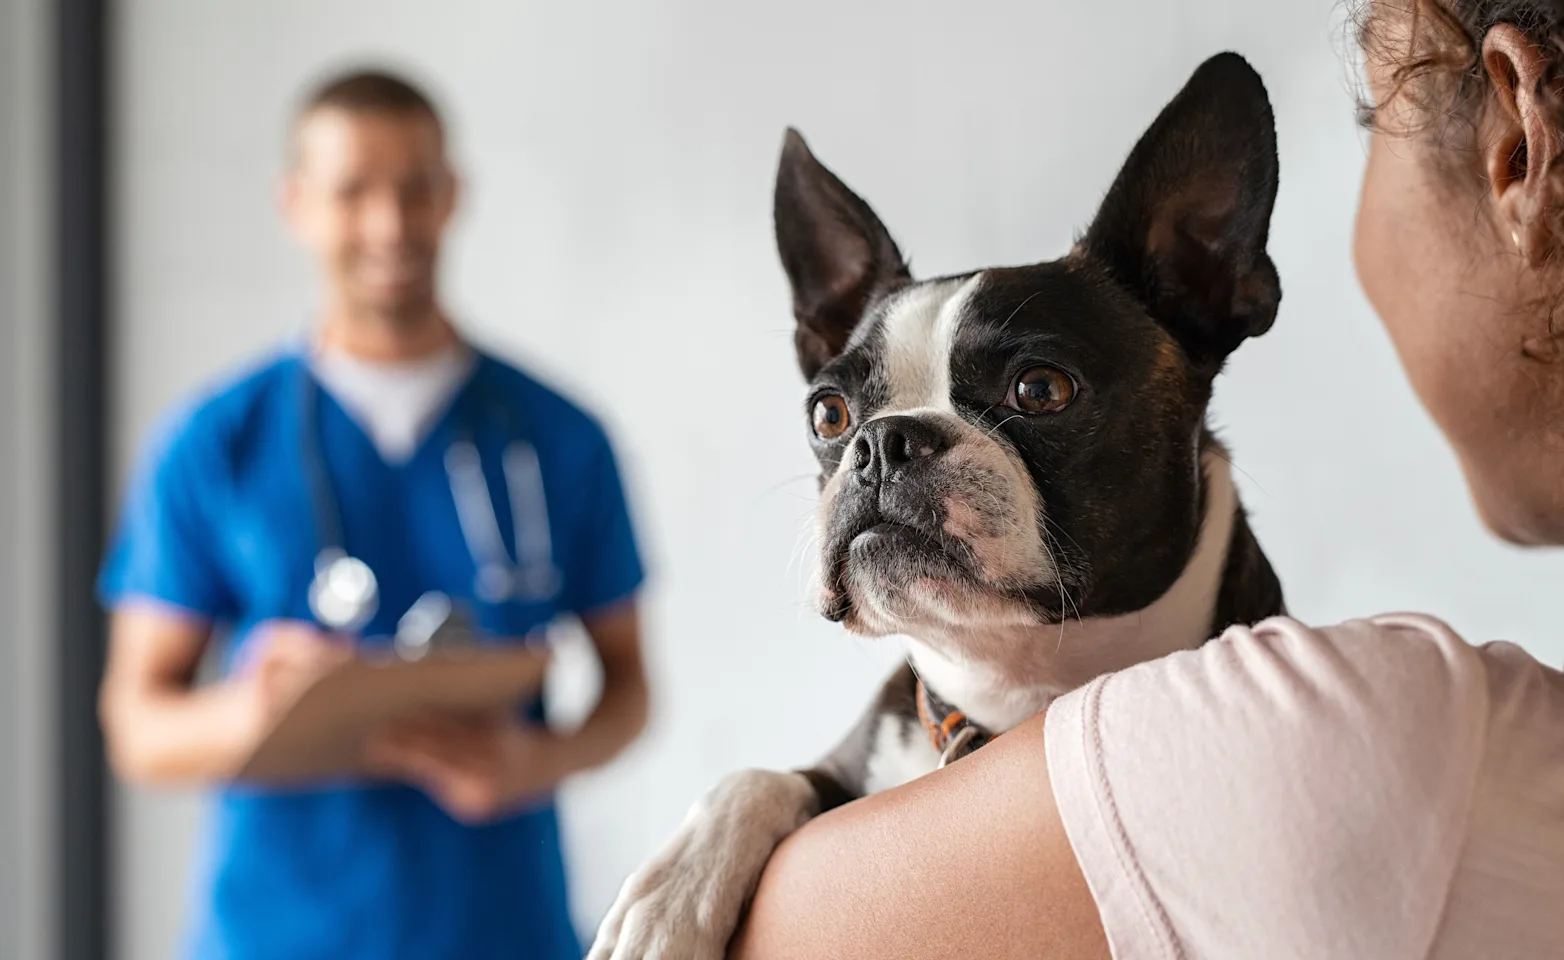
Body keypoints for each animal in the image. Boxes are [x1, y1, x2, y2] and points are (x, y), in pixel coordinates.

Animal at [588, 54, 1282, 960]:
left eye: (1041, 390)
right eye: (829, 414)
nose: (883, 443)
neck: (1006, 687)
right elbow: (759, 776)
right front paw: (671, 894)